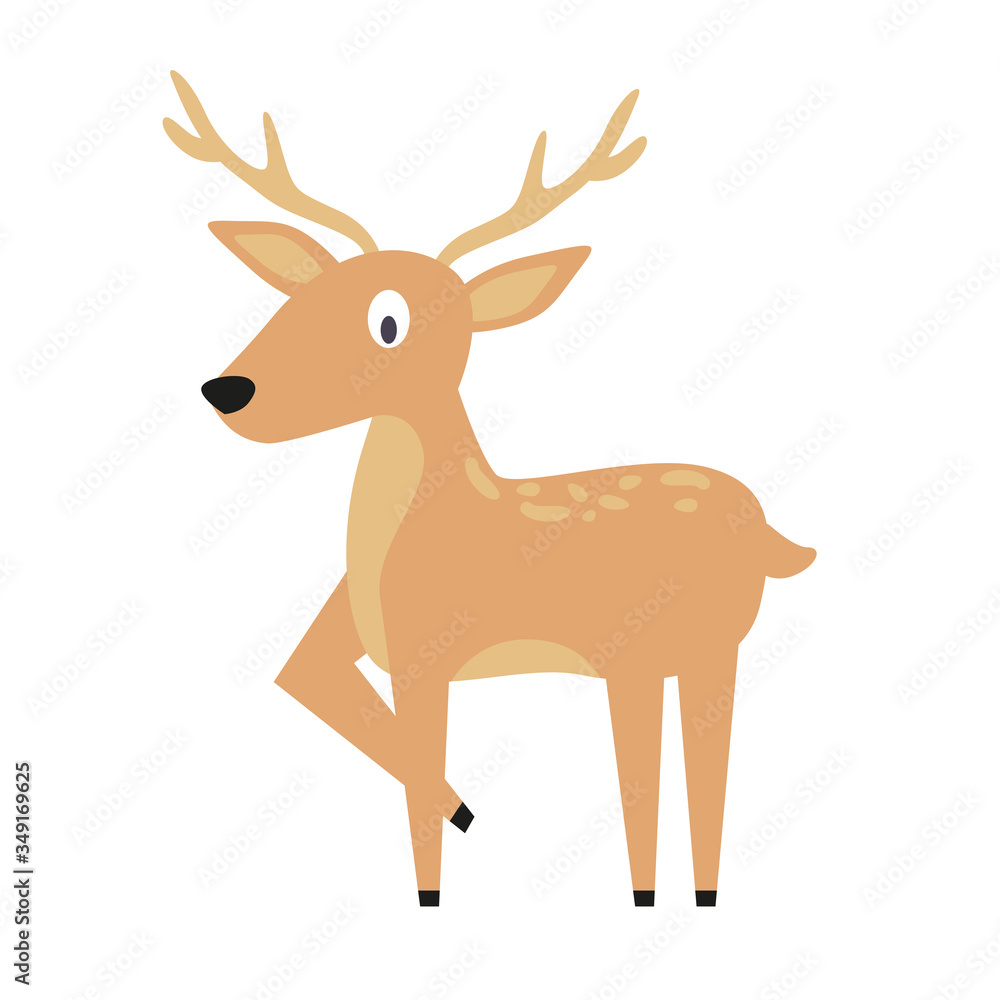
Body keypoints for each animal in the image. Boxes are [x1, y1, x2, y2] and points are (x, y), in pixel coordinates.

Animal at [164, 72, 815, 908]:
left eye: (388, 323)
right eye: (300, 296)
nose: (228, 389)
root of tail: (770, 530)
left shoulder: (427, 655)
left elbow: (418, 786)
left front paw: (434, 887)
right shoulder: (345, 643)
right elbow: (317, 691)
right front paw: (466, 812)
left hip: (656, 651)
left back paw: (665, 898)